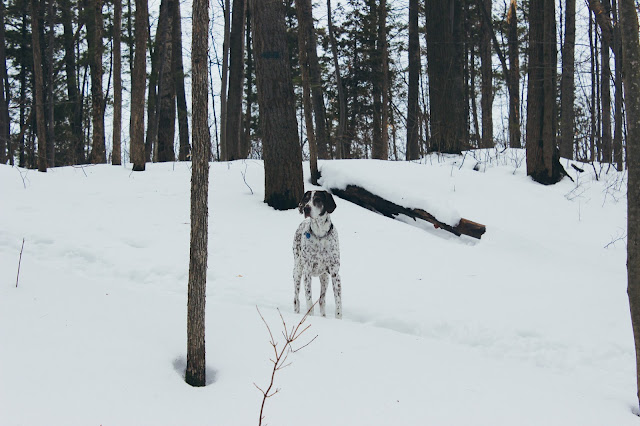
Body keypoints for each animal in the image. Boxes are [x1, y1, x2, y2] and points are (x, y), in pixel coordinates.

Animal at [293, 190, 342, 319]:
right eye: (306, 199)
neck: (320, 235)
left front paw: (339, 319)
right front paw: (310, 316)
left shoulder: (335, 273)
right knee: (296, 298)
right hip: (297, 271)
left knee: (321, 300)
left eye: (318, 199)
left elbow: (338, 301)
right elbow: (309, 298)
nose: (306, 208)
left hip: (325, 277)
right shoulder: (307, 272)